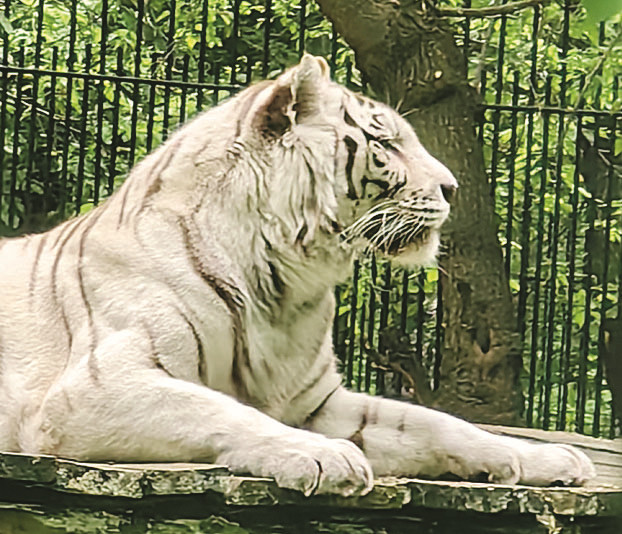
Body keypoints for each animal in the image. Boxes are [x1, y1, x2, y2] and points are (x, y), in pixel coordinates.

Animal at [0, 54, 594, 496]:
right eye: (387, 144)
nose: (452, 188)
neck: (284, 289)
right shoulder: (93, 390)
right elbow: (225, 410)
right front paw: (325, 456)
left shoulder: (318, 400)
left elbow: (435, 421)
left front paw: (541, 458)